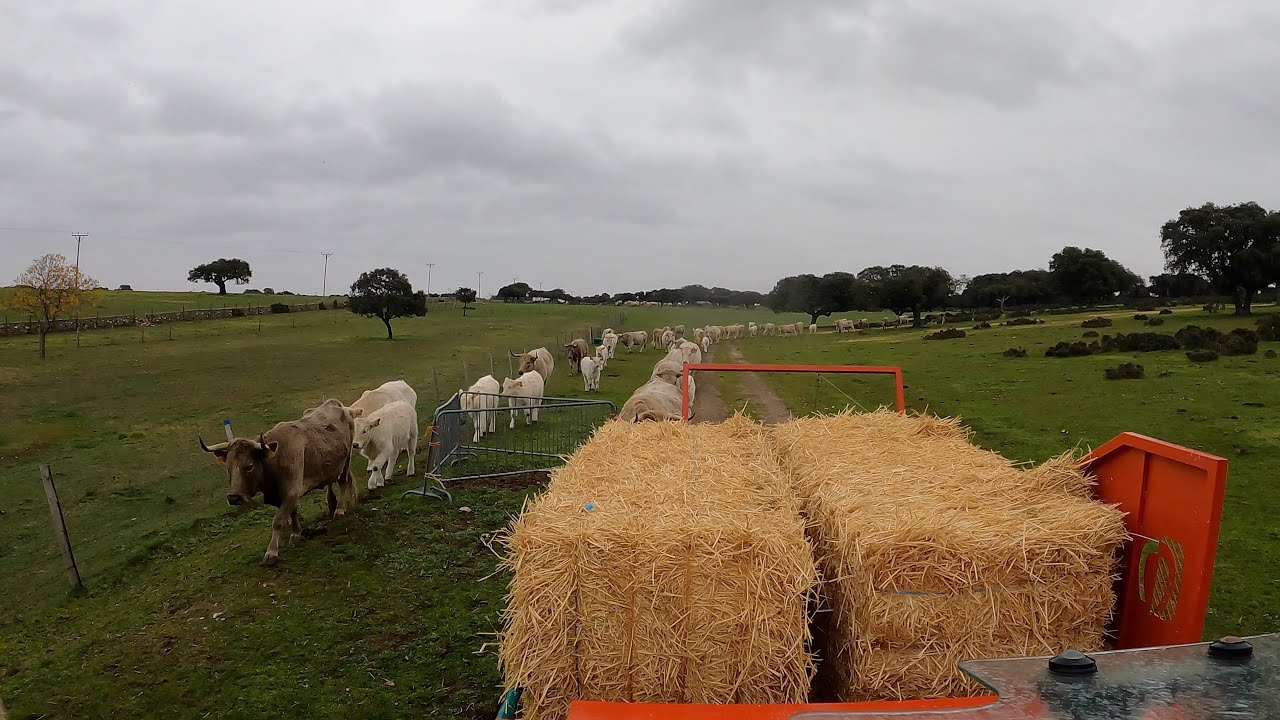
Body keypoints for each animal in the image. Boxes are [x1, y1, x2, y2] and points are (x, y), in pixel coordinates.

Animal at [199, 399, 355, 565]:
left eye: (249, 466)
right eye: (228, 468)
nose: (233, 497)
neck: (274, 460)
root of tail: (334, 403)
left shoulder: (291, 492)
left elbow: (278, 521)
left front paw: (272, 552)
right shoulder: (284, 495)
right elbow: (292, 512)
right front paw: (296, 533)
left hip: (346, 460)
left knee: (343, 482)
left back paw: (339, 510)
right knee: (329, 481)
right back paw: (331, 503)